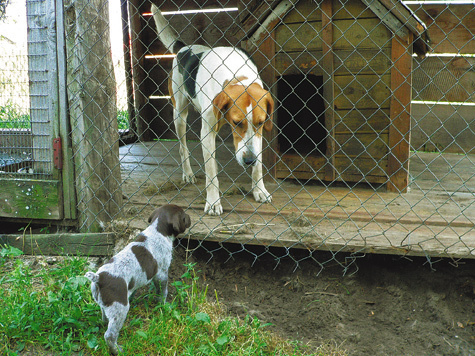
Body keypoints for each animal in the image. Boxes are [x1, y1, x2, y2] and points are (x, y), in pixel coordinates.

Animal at [85, 204, 192, 354]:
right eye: (183, 216)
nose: (190, 217)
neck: (157, 230)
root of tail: (99, 278)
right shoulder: (162, 273)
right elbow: (163, 292)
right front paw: (164, 305)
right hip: (121, 308)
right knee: (110, 335)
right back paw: (117, 350)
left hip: (105, 304)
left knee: (105, 319)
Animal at [152, 4, 276, 216]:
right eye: (236, 122)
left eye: (261, 122)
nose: (249, 160)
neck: (236, 75)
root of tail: (183, 48)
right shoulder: (207, 133)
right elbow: (211, 173)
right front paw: (212, 202)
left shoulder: (259, 133)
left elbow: (259, 166)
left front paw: (259, 190)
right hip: (179, 115)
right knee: (182, 147)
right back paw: (188, 173)